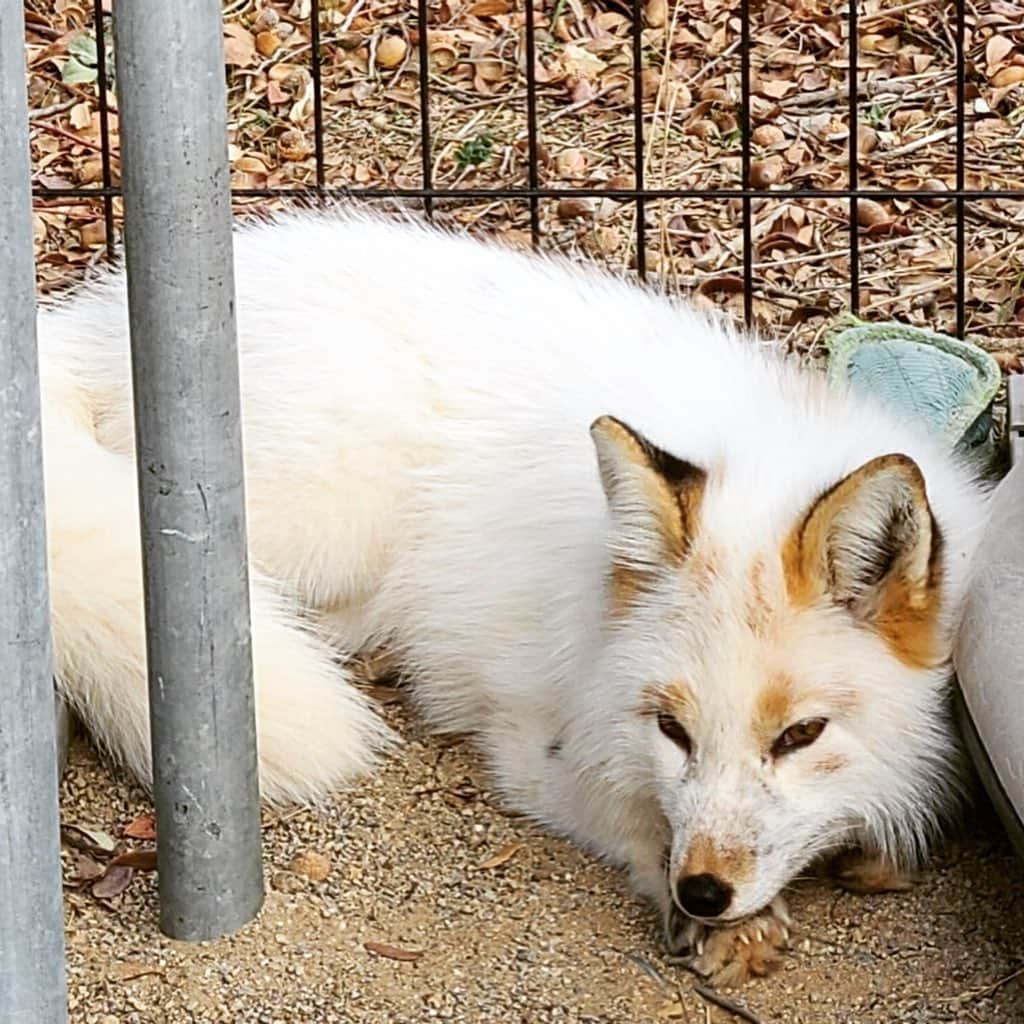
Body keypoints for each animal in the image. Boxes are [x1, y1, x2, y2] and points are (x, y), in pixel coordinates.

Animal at [37, 207, 991, 983]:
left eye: (800, 735)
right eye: (673, 730)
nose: (705, 892)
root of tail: (86, 319)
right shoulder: (539, 740)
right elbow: (624, 810)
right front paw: (707, 910)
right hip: (311, 526)